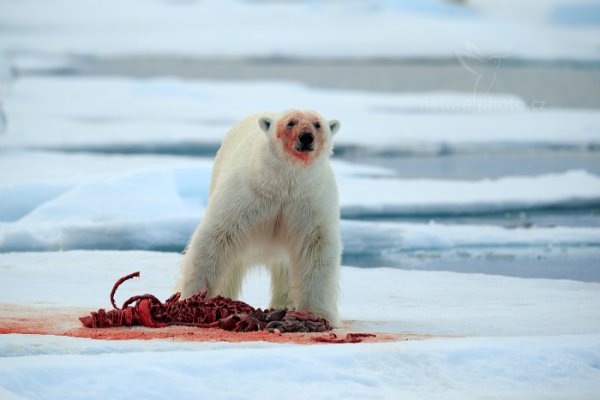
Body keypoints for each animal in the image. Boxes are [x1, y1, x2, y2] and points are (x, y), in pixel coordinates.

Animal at [175, 109, 342, 324]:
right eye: (291, 122)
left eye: (317, 124)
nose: (306, 137)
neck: (282, 184)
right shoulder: (246, 196)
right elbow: (217, 236)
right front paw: (192, 299)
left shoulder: (309, 202)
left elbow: (316, 247)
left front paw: (319, 313)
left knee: (284, 266)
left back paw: (284, 304)